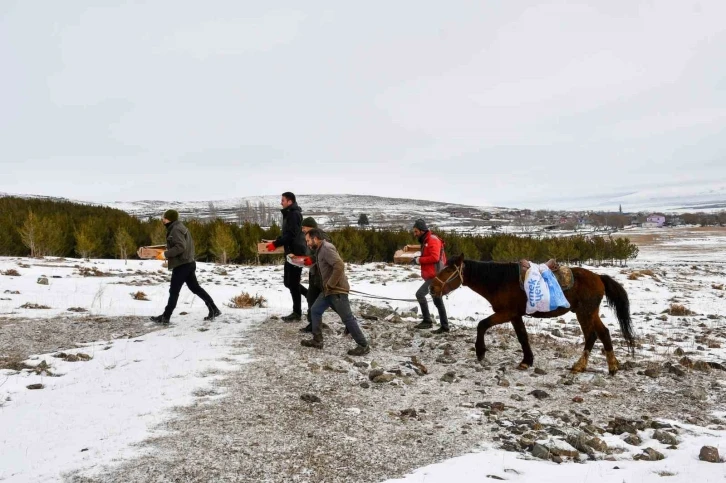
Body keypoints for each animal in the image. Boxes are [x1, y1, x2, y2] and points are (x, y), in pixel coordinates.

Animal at [432, 255, 636, 376]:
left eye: (449, 269)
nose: (432, 288)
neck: (500, 281)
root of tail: (599, 277)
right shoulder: (515, 315)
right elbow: (522, 337)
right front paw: (527, 361)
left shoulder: (505, 313)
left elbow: (482, 324)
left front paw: (480, 352)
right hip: (589, 313)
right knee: (603, 333)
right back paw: (611, 366)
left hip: (585, 313)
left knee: (592, 335)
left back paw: (582, 365)